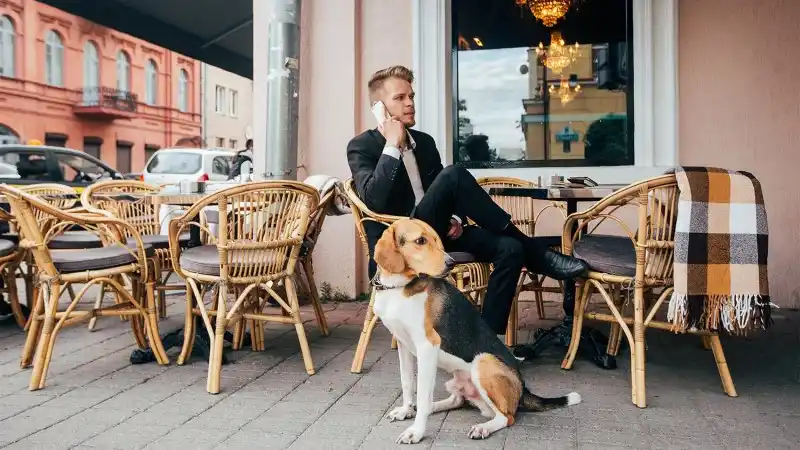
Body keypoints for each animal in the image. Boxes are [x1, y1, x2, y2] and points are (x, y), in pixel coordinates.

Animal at [372, 218, 580, 442]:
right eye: (420, 240)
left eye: (437, 239)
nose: (451, 263)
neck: (398, 288)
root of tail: (523, 390)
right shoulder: (403, 344)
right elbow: (408, 383)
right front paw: (406, 410)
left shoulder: (427, 346)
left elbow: (422, 392)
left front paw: (416, 432)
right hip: (456, 379)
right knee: (457, 401)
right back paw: (431, 407)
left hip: (483, 360)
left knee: (507, 417)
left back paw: (483, 428)